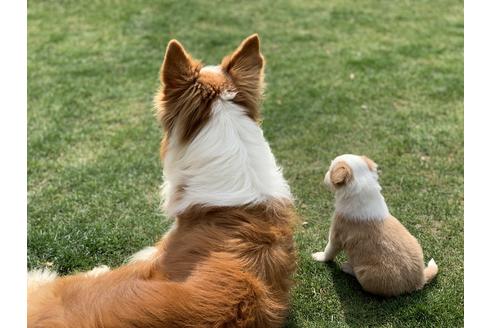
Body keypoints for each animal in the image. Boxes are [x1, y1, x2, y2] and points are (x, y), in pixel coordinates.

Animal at [312, 154, 438, 298]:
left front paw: (319, 257)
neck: (361, 185)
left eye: (331, 170)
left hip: (366, 274)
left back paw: (348, 268)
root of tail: (420, 279)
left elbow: (329, 251)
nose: (325, 175)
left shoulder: (336, 236)